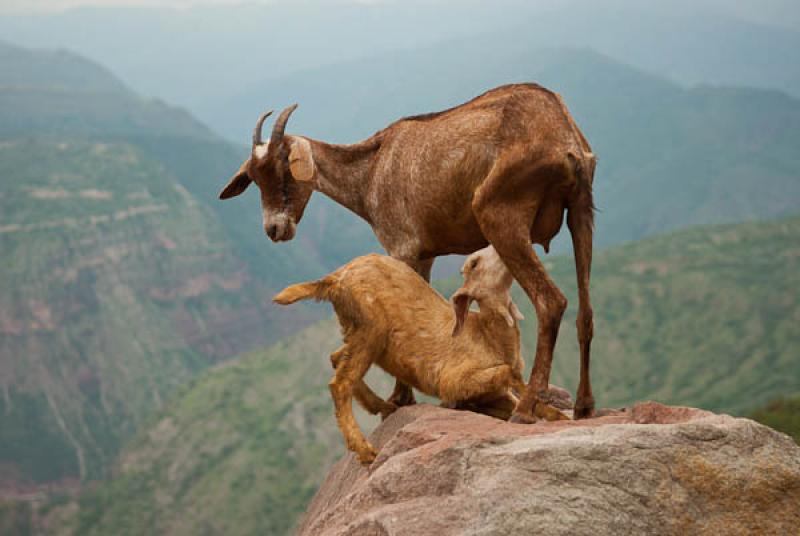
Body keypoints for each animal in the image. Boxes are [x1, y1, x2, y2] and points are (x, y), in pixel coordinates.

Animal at [219, 82, 592, 422]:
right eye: (254, 177)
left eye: (284, 168)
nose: (274, 229)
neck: (371, 171)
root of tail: (564, 136)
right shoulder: (424, 254)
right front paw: (403, 397)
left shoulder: (402, 247)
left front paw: (400, 399)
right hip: (581, 211)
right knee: (584, 312)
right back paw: (584, 406)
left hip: (500, 215)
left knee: (551, 302)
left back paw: (526, 409)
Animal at [276, 247, 568, 464]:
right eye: (474, 263)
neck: (488, 336)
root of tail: (335, 279)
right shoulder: (453, 379)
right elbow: (508, 375)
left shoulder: (495, 394)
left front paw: (555, 412)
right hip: (371, 328)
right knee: (340, 383)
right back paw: (367, 450)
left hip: (356, 331)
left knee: (336, 358)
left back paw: (384, 407)